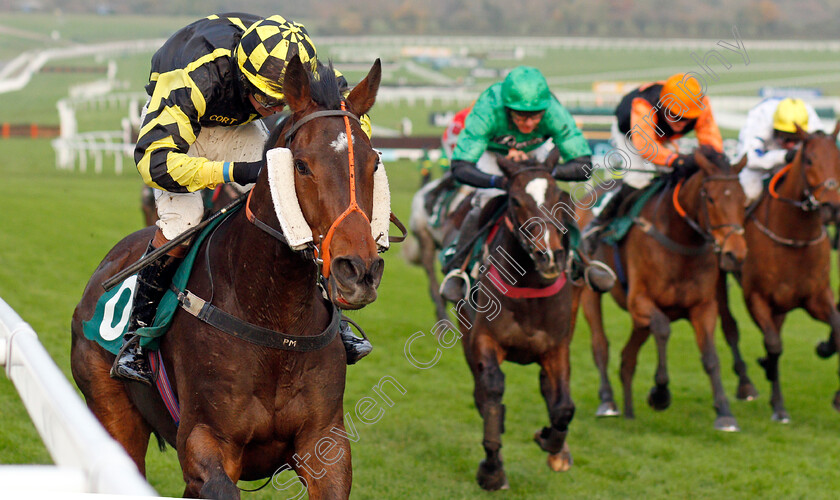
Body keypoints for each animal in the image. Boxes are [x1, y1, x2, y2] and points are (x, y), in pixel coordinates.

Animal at [70, 56, 386, 498]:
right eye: (301, 165)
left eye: (374, 162)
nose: (358, 270)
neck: (274, 316)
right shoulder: (205, 442)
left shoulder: (326, 442)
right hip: (112, 412)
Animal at [452, 156, 584, 492]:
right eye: (515, 200)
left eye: (558, 196)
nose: (548, 255)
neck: (530, 287)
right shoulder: (484, 340)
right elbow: (491, 392)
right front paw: (492, 470)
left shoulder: (557, 347)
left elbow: (564, 406)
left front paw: (551, 441)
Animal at [576, 146, 748, 432]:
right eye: (711, 199)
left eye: (744, 200)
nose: (736, 254)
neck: (681, 243)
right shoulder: (639, 301)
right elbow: (663, 328)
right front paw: (660, 393)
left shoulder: (703, 306)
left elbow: (711, 356)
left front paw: (725, 413)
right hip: (590, 291)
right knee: (600, 345)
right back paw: (608, 401)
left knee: (627, 357)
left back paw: (629, 412)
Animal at [720, 122, 840, 422]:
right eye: (809, 160)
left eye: (839, 159)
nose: (832, 208)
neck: (794, 236)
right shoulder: (756, 297)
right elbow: (773, 343)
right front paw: (779, 406)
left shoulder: (816, 296)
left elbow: (838, 330)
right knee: (730, 327)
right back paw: (746, 384)